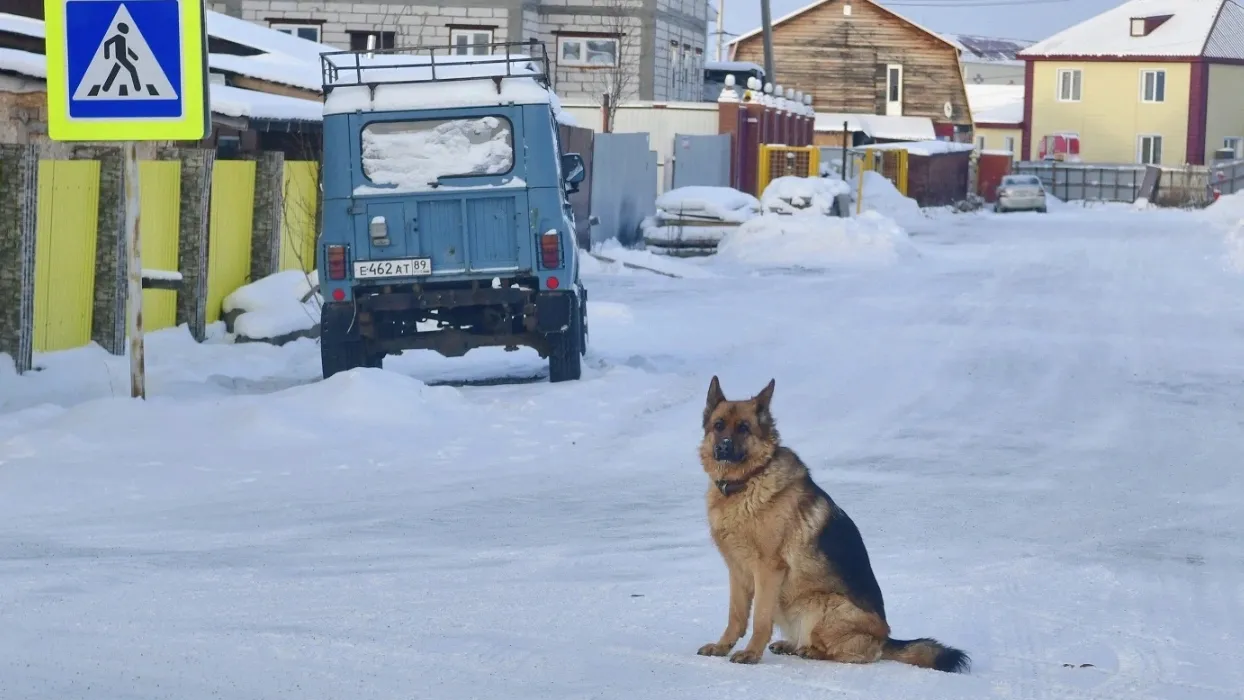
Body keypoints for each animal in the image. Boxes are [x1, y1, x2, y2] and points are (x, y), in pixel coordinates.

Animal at [696, 377, 965, 671]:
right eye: (719, 425)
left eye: (744, 428)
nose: (722, 447)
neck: (747, 481)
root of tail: (885, 638)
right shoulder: (737, 570)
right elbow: (736, 615)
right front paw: (722, 646)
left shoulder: (768, 569)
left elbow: (760, 619)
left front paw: (752, 653)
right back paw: (791, 645)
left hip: (823, 605)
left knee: (855, 653)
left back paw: (811, 651)